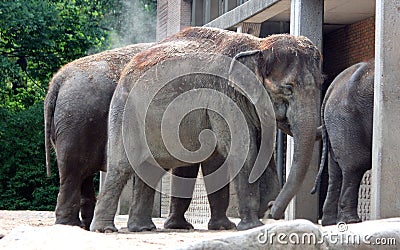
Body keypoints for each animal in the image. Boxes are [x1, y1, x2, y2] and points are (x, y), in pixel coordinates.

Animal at [43, 42, 153, 229]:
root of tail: (58, 79)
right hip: (77, 120)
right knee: (73, 171)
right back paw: (70, 225)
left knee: (80, 173)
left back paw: (84, 224)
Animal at [90, 27, 322, 232]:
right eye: (288, 88)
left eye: (322, 83)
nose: (273, 210)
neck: (257, 45)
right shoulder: (224, 97)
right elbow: (244, 152)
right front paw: (252, 225)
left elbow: (257, 154)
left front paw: (230, 226)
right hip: (125, 112)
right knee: (121, 166)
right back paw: (106, 230)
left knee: (150, 170)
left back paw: (143, 228)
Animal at [312, 59, 376, 226]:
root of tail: (331, 89)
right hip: (346, 119)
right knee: (355, 165)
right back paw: (352, 221)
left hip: (335, 123)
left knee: (335, 171)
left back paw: (329, 222)